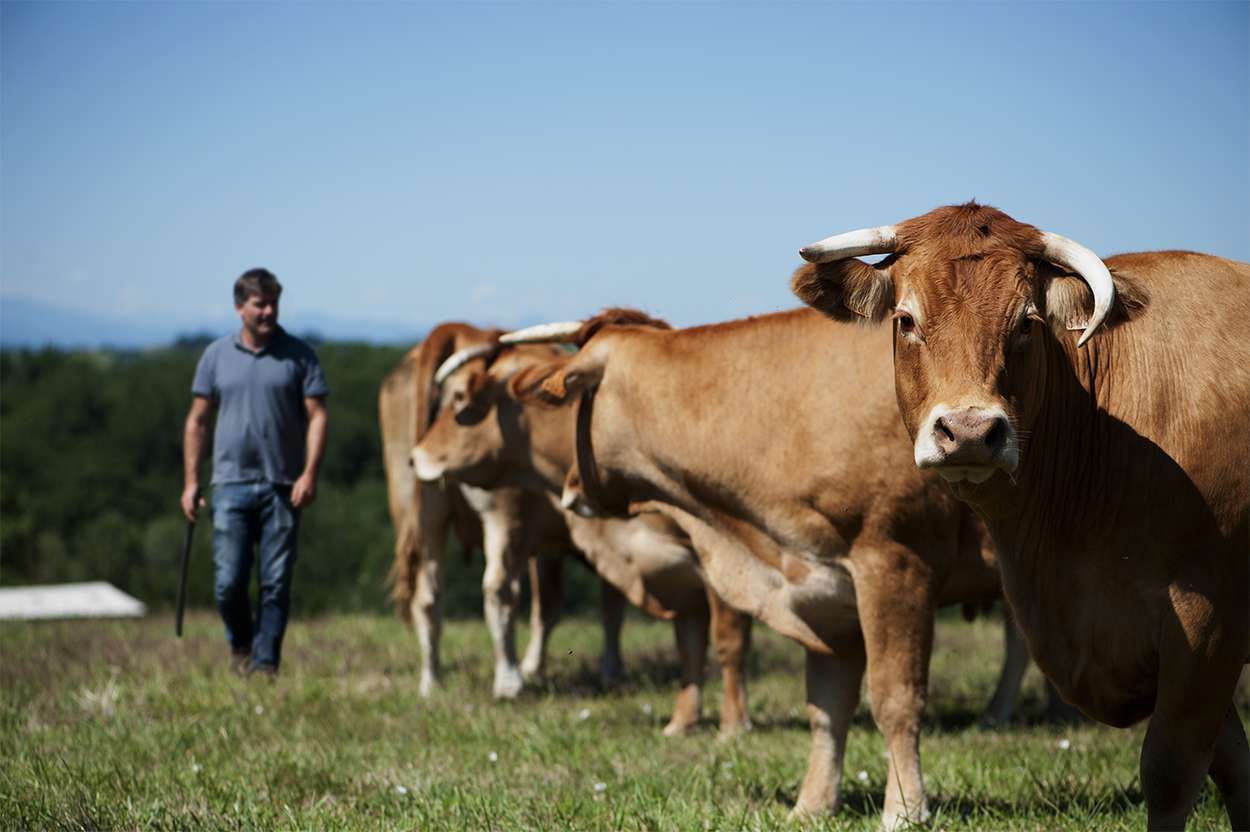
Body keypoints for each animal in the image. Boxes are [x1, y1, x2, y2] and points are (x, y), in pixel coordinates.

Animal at [372, 319, 622, 694]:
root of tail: (460, 330)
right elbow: (607, 604)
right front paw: (608, 670)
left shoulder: (548, 542)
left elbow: (550, 604)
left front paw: (539, 668)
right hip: (503, 512)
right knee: (498, 589)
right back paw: (509, 680)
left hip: (419, 510)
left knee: (427, 595)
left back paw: (431, 681)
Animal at [795, 202, 1245, 829]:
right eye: (906, 320)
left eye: (1027, 323)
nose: (969, 431)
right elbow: (1235, 770)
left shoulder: (1207, 616)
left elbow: (1172, 770)